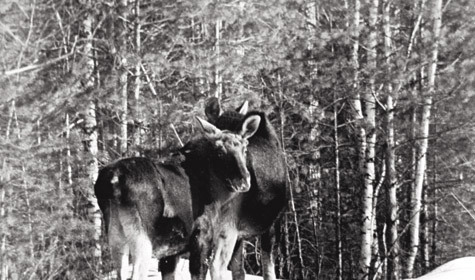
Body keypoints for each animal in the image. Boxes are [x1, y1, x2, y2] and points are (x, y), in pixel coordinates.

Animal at [93, 115, 262, 278]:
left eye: (245, 148)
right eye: (219, 151)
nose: (243, 180)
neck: (215, 195)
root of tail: (113, 179)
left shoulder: (170, 254)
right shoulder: (201, 238)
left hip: (115, 236)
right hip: (142, 237)